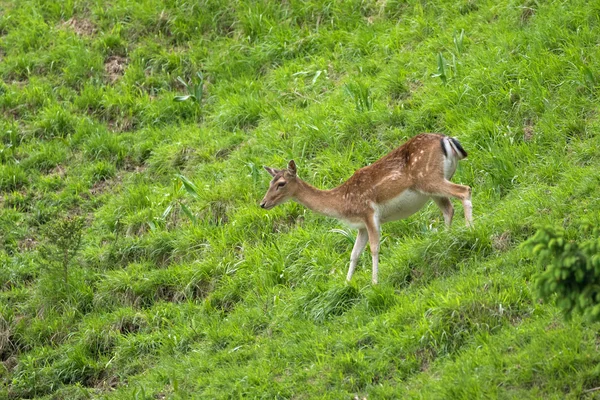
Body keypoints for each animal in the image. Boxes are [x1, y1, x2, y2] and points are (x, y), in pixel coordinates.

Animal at [260, 134, 472, 284]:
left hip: (428, 178)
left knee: (465, 190)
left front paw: (374, 282)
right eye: (269, 182)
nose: (262, 203)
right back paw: (446, 238)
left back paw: (470, 229)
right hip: (431, 187)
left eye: (280, 183)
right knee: (448, 209)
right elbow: (354, 254)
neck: (343, 204)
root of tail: (447, 140)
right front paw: (347, 284)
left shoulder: (369, 212)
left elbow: (374, 248)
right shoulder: (361, 225)